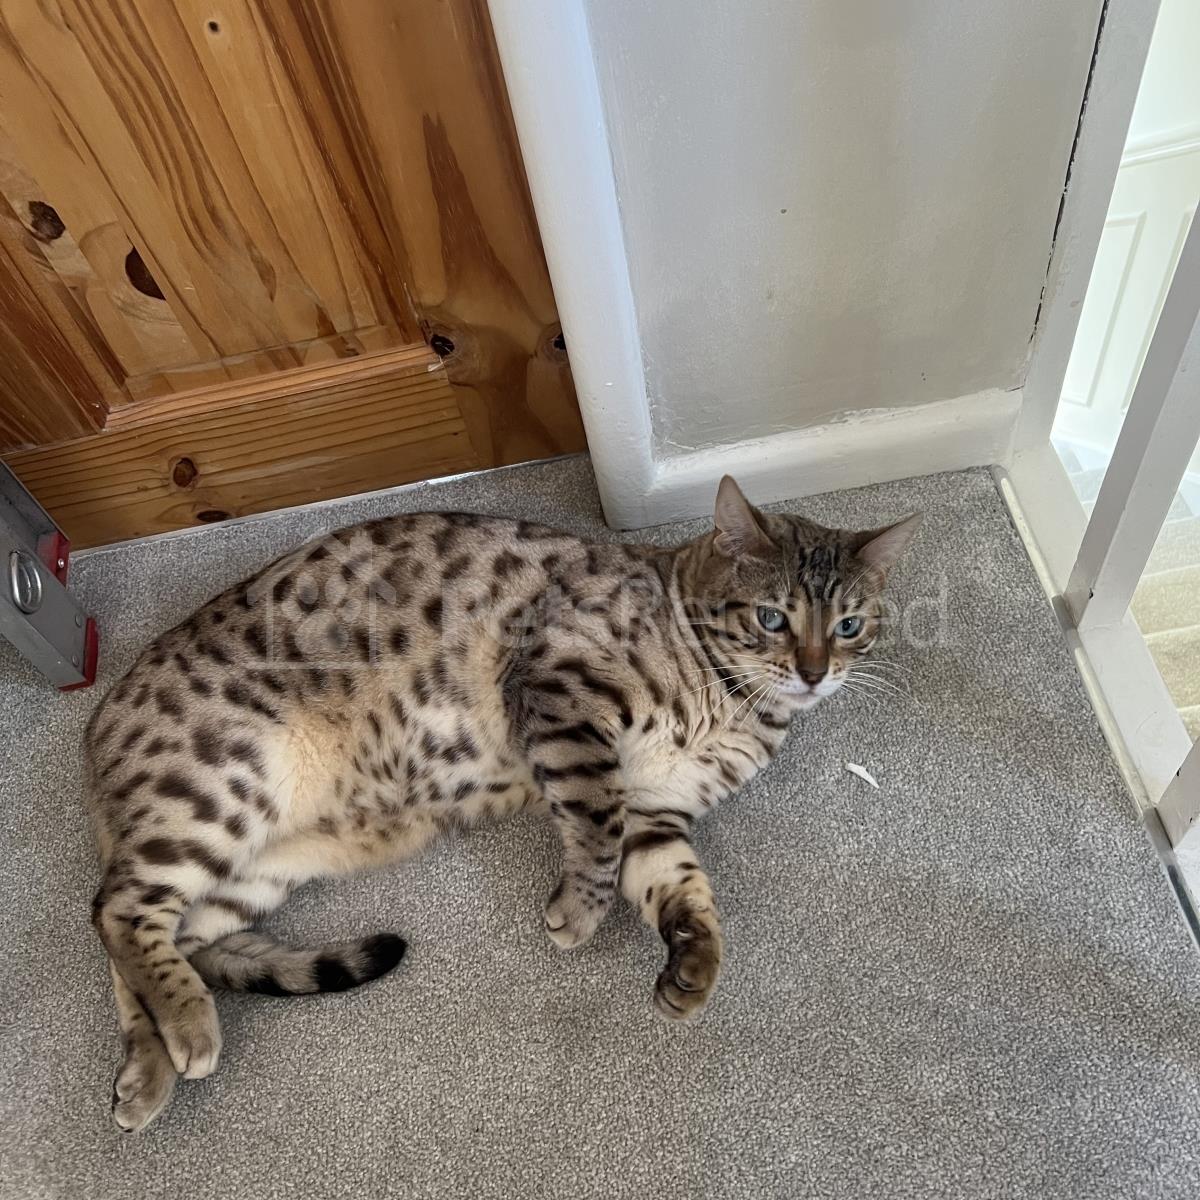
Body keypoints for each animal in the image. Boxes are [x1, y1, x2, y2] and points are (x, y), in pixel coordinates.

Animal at [85, 475, 918, 1132]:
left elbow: (684, 888)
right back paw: (189, 1026)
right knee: (114, 911)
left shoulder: (660, 810)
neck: (734, 707)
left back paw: (150, 1065)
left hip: (258, 865)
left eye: (849, 626)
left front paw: (695, 966)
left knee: (143, 945)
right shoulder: (562, 689)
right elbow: (595, 825)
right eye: (771, 617)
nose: (813, 672)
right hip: (217, 791)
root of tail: (99, 727)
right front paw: (578, 913)